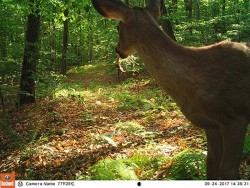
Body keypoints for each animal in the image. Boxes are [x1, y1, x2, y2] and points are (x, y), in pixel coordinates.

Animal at [91, 0, 250, 180]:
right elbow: (211, 168)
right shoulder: (211, 126)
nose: (117, 49)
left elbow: (228, 171)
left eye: (118, 27)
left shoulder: (236, 117)